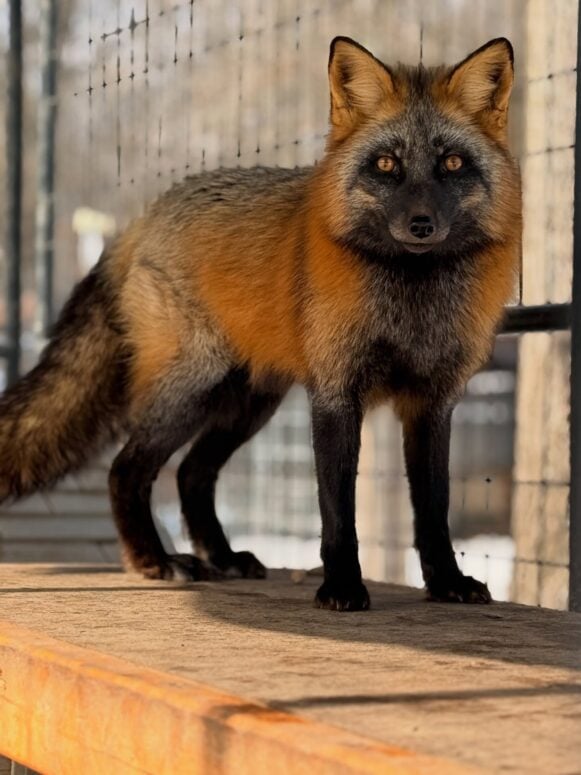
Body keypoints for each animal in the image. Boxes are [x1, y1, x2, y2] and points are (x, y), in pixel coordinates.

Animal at [0, 37, 520, 611]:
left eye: (452, 162)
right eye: (386, 164)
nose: (421, 224)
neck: (412, 301)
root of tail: (140, 220)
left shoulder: (434, 402)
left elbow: (434, 512)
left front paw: (446, 582)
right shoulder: (335, 395)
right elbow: (338, 512)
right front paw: (342, 587)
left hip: (249, 403)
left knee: (192, 473)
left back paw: (221, 558)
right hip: (190, 389)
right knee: (127, 469)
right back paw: (154, 562)